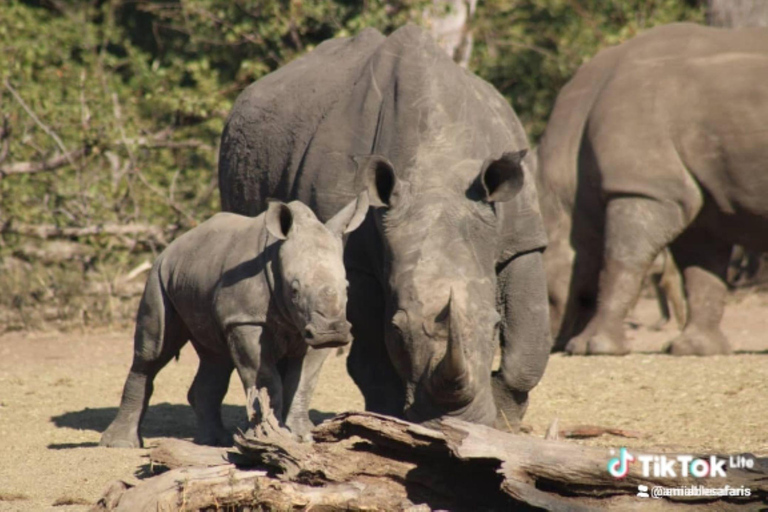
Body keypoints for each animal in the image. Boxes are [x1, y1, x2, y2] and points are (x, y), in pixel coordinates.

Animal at [100, 194, 368, 448]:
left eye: (347, 287)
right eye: (294, 290)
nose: (332, 333)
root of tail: (173, 245)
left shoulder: (310, 328)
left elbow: (304, 382)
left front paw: (302, 436)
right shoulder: (245, 320)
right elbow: (265, 379)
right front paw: (270, 436)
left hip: (196, 275)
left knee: (215, 357)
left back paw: (213, 440)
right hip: (158, 276)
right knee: (153, 351)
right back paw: (121, 444)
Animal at [218, 25, 551, 427]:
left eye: (495, 325)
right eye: (397, 329)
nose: (454, 421)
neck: (437, 173)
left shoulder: (521, 239)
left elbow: (531, 345)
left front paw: (504, 421)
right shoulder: (353, 257)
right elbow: (372, 354)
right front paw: (393, 421)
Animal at [537, 23, 768, 355]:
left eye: (546, 296)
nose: (551, 346)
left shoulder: (645, 188)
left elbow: (620, 260)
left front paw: (591, 347)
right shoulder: (699, 205)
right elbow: (701, 272)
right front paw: (695, 349)